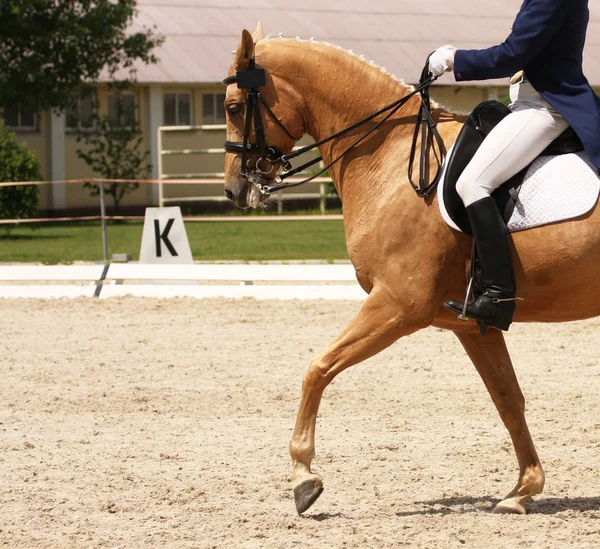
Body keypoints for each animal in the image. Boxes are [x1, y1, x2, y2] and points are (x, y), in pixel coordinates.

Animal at [221, 25, 600, 512]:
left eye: (233, 106)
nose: (234, 189)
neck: (387, 153)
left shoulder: (400, 305)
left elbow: (318, 367)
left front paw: (303, 477)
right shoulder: (471, 324)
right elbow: (507, 398)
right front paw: (523, 490)